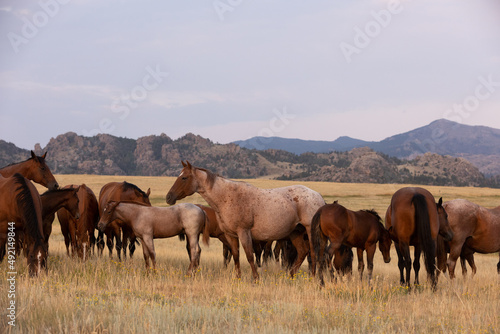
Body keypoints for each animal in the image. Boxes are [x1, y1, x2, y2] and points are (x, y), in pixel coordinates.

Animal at [166, 160, 326, 280]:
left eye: (184, 178)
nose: (169, 197)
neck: (227, 197)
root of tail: (318, 196)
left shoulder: (244, 232)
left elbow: (249, 256)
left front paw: (255, 279)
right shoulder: (231, 235)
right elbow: (236, 256)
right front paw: (238, 277)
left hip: (309, 230)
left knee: (313, 252)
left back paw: (312, 278)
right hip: (295, 232)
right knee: (303, 252)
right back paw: (291, 276)